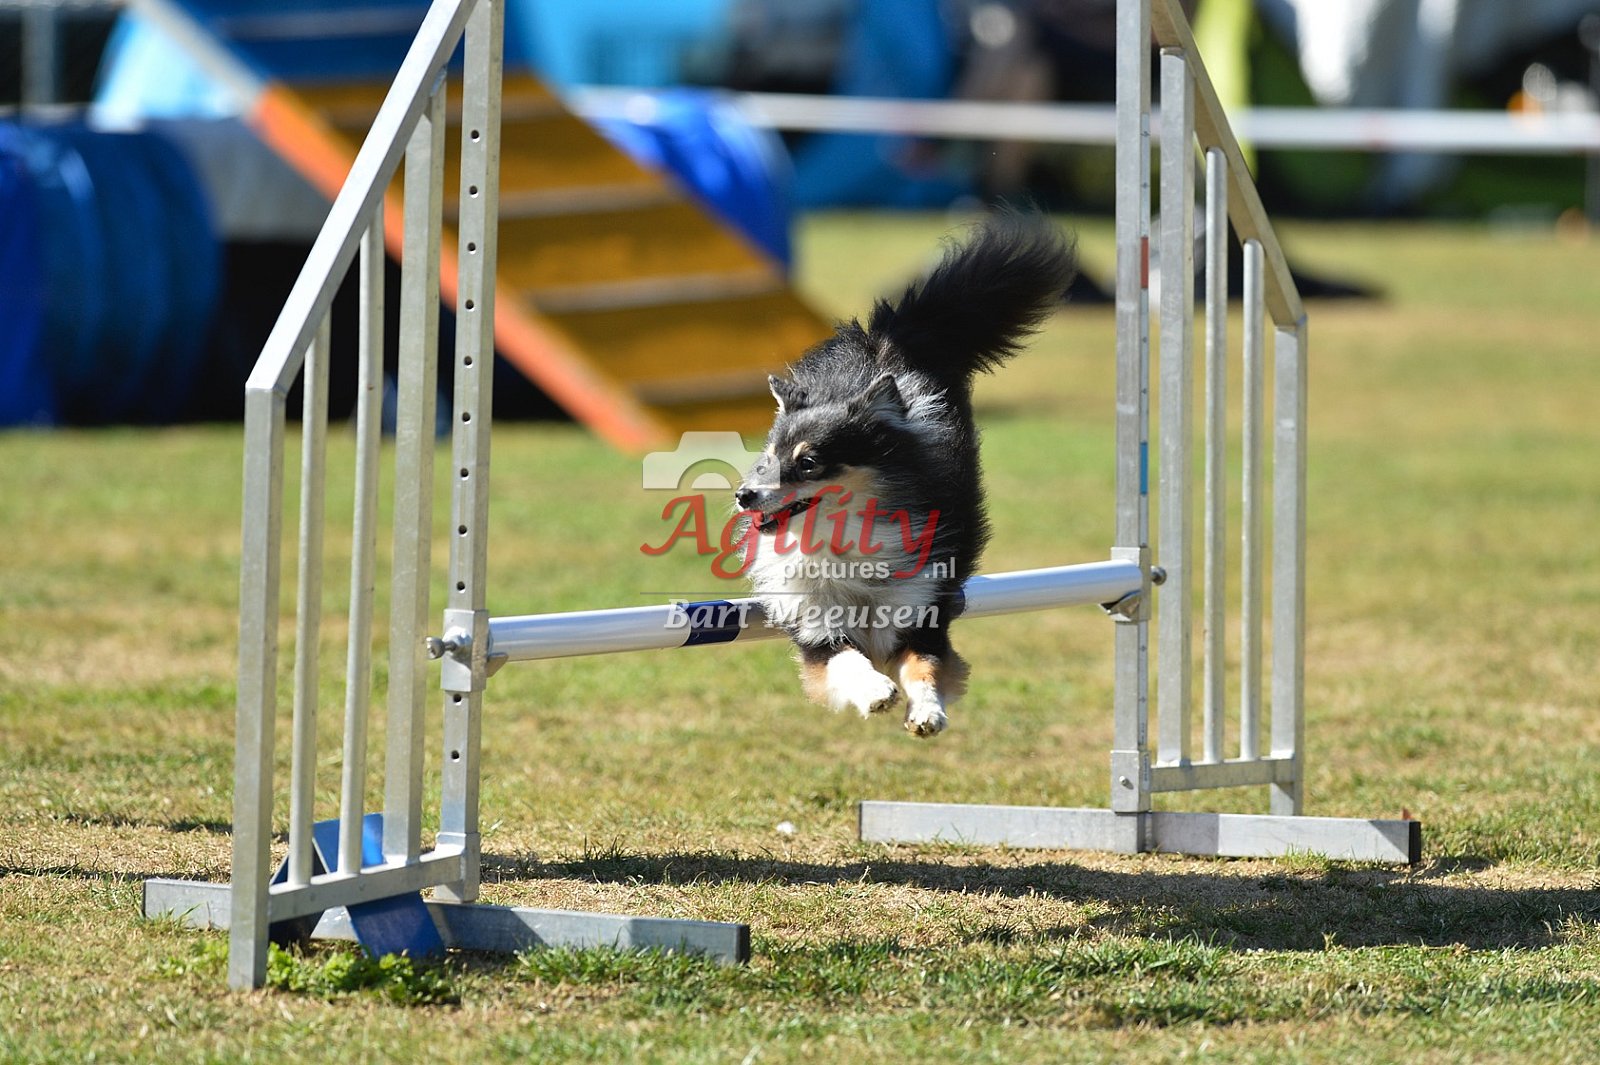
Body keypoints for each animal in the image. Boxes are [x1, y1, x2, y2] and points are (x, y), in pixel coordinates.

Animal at [734, 213, 1077, 736]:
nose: (743, 495)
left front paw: (927, 712)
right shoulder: (812, 617)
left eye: (809, 462)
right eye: (768, 457)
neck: (845, 544)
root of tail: (887, 335)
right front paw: (876, 691)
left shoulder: (920, 606)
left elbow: (924, 665)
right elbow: (845, 659)